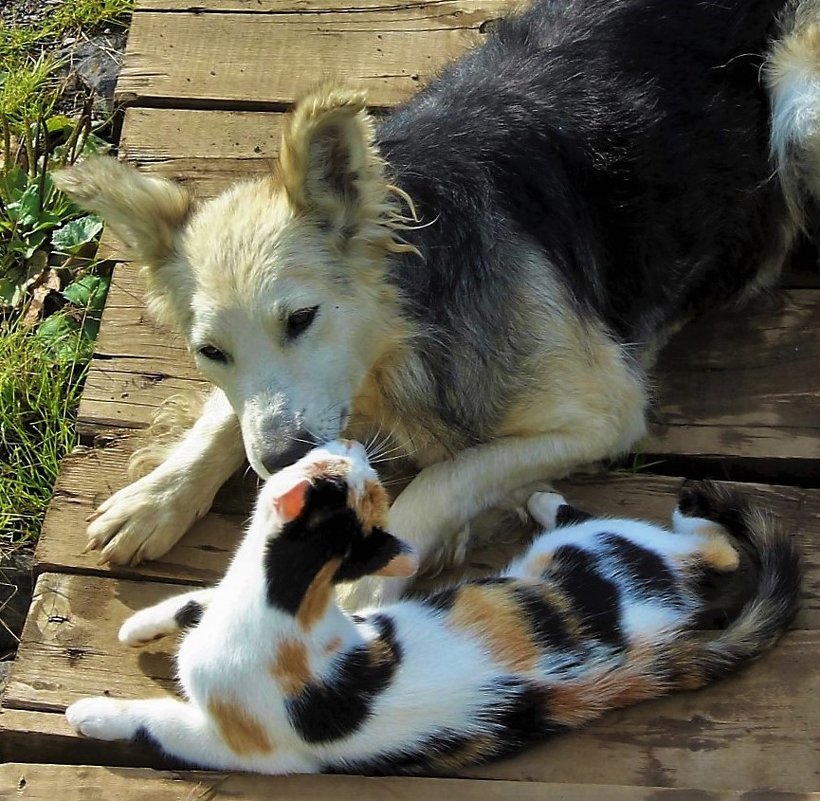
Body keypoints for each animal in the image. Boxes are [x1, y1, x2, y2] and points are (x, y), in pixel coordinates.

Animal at [56, 0, 820, 600]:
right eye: (211, 351)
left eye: (302, 319)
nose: (279, 461)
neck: (406, 319)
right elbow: (230, 417)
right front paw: (158, 496)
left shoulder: (601, 413)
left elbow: (445, 478)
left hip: (798, 88)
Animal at [67, 440, 796, 772]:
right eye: (347, 471)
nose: (355, 444)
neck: (281, 608)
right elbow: (198, 598)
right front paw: (139, 625)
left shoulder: (249, 745)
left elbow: (158, 722)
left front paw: (92, 711)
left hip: (586, 544)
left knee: (715, 549)